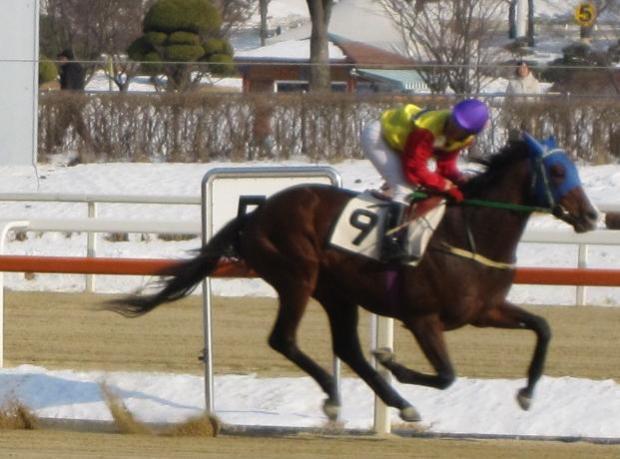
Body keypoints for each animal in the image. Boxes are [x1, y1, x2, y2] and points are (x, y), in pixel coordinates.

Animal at [106, 133, 598, 423]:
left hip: (338, 293)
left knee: (347, 348)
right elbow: (446, 376)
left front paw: (527, 395)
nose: (592, 216)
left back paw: (390, 401)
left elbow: (544, 328)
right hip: (298, 276)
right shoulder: (422, 318)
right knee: (284, 339)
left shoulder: (485, 310)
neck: (470, 232)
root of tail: (257, 214)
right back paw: (337, 395)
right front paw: (395, 361)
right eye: (557, 170)